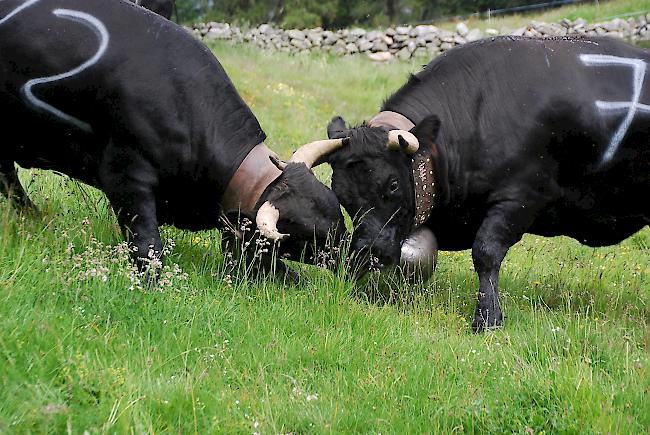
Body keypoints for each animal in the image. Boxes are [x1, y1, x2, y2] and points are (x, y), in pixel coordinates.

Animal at [0, 0, 344, 276]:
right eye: (313, 237)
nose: (348, 258)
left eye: (338, 216)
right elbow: (146, 242)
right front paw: (152, 281)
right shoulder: (126, 174)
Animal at [294, 36, 648, 330]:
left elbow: (485, 252)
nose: (368, 253)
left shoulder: (522, 196)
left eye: (393, 184)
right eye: (341, 195)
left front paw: (488, 318)